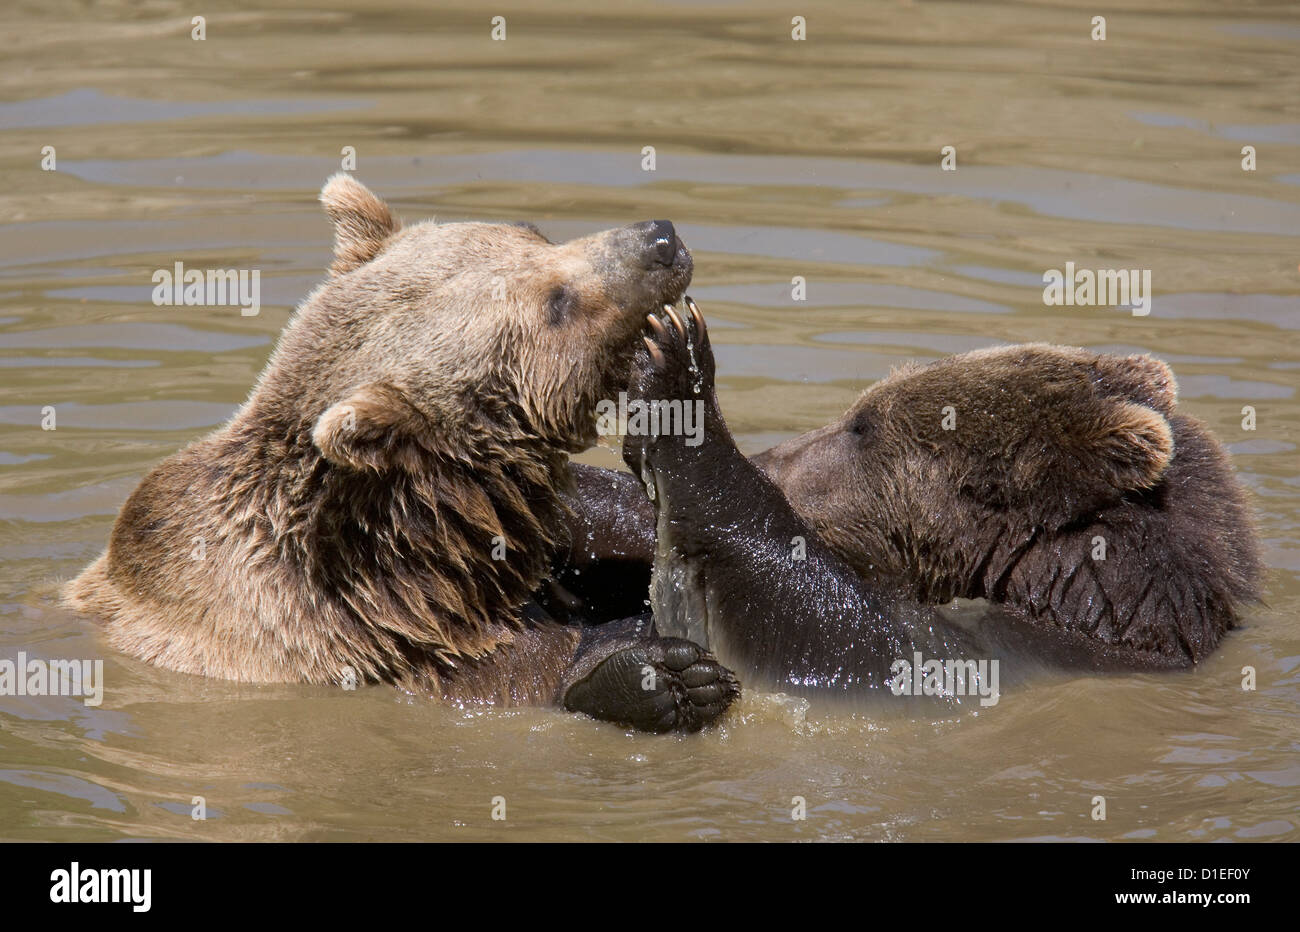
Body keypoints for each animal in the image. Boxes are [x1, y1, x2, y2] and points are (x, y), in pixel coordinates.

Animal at [65, 170, 738, 733]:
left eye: (534, 233)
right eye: (557, 304)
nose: (660, 239)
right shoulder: (325, 644)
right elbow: (519, 669)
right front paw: (662, 674)